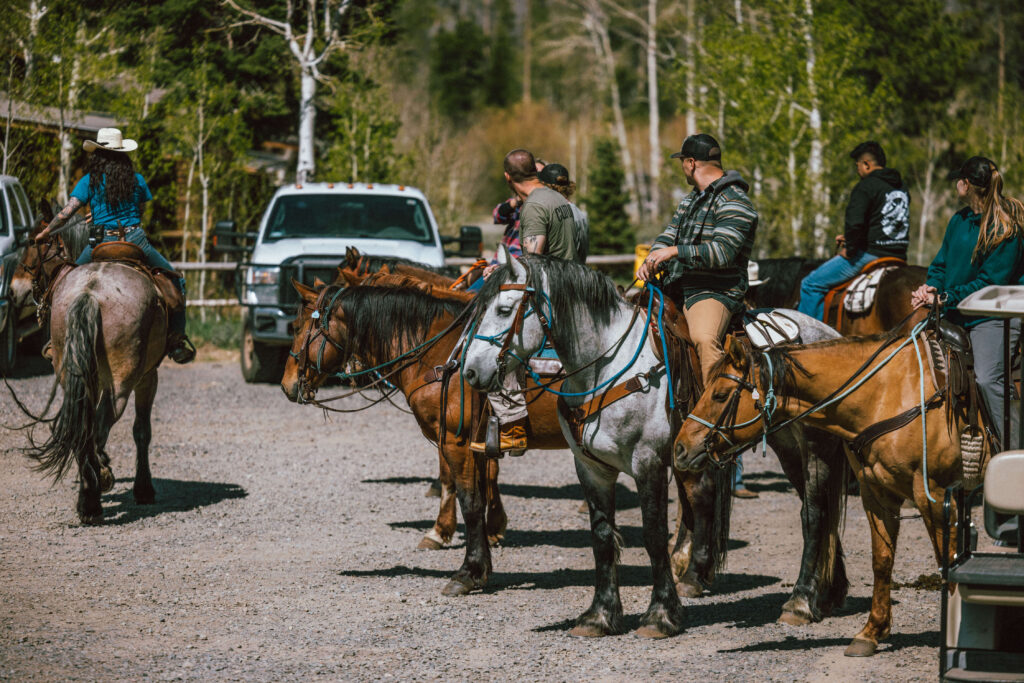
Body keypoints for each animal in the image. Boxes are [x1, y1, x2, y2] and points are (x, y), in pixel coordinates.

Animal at [11, 229, 167, 524]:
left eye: (32, 246)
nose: (13, 292)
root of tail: (91, 292)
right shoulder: (147, 377)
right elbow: (141, 431)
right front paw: (143, 489)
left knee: (84, 426)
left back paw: (88, 500)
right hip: (121, 384)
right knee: (100, 423)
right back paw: (96, 490)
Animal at [679, 333, 974, 659]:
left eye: (720, 395)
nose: (680, 446)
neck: (891, 394)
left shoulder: (933, 495)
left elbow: (948, 562)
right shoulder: (877, 495)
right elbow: (882, 561)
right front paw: (871, 632)